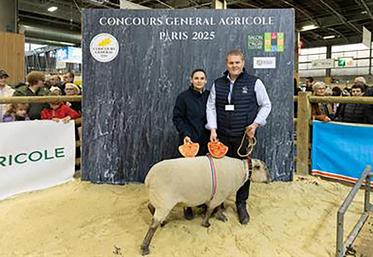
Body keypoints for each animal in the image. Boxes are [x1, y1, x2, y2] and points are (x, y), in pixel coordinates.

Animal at [140, 154, 270, 254]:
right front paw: (206, 223)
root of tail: (148, 179)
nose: (270, 179)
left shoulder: (218, 194)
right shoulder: (219, 194)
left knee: (150, 206)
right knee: (153, 225)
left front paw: (219, 216)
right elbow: (211, 208)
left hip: (158, 199)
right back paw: (145, 247)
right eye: (265, 168)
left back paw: (162, 222)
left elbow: (217, 207)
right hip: (164, 202)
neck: (241, 171)